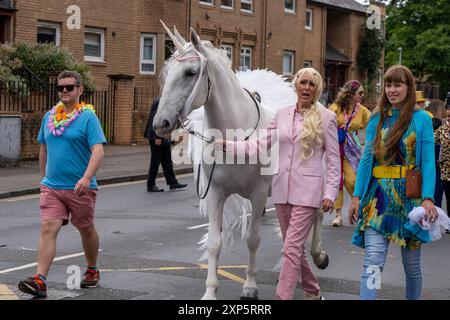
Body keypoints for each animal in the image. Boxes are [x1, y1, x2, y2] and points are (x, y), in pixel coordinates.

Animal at [153, 23, 328, 300]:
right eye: (167, 72)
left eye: (190, 72)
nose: (161, 123)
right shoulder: (216, 193)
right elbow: (214, 243)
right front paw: (210, 291)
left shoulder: (257, 195)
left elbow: (253, 240)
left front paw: (249, 286)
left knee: (317, 216)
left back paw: (318, 255)